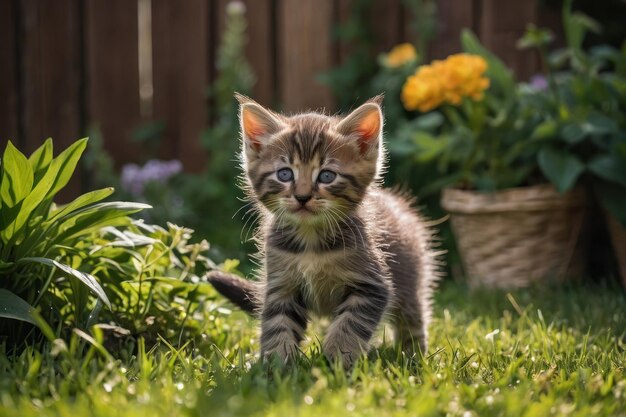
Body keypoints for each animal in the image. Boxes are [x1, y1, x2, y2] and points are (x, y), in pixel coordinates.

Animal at [207, 93, 442, 364]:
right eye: (285, 174)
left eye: (327, 176)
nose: (302, 197)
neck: (311, 239)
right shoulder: (281, 284)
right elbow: (278, 324)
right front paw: (276, 365)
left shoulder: (371, 286)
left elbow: (349, 325)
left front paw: (336, 362)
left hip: (411, 278)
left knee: (412, 317)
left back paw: (413, 356)